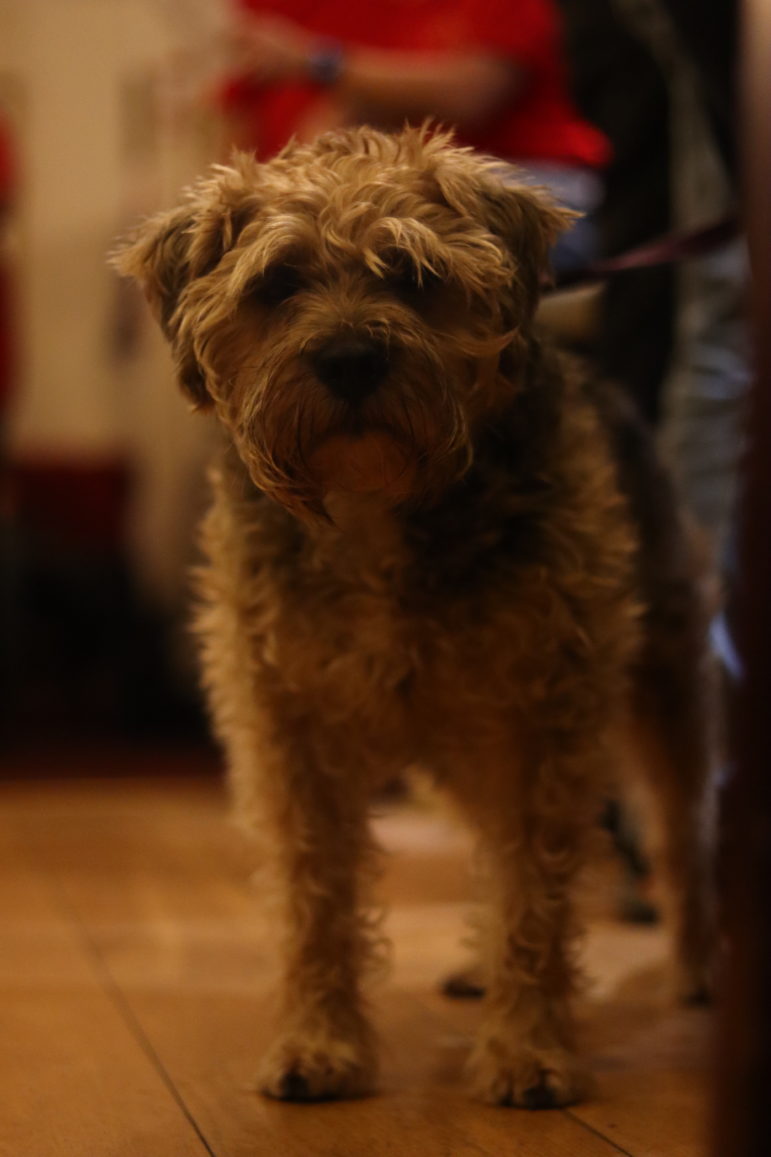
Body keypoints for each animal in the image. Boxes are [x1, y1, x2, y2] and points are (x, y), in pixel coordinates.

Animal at [115, 126, 713, 1110]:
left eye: (415, 274)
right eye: (277, 284)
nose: (352, 358)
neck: (372, 507)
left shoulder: (540, 724)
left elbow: (536, 887)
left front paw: (528, 1048)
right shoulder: (290, 735)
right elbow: (315, 896)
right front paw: (318, 1043)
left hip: (664, 695)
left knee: (676, 832)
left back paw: (698, 970)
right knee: (485, 840)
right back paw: (475, 964)